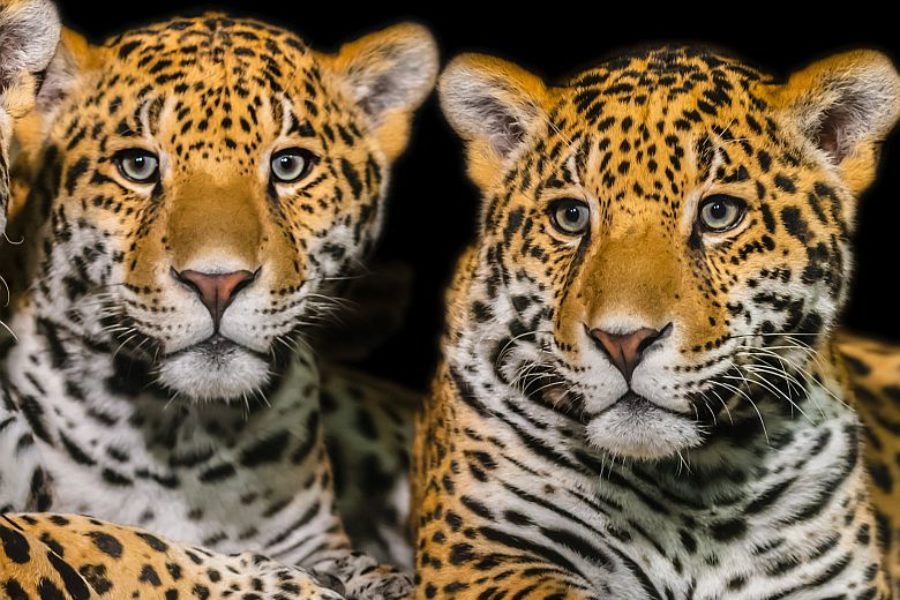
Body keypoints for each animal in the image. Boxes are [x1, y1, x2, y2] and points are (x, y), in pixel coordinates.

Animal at [0, 11, 437, 598]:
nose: (217, 283)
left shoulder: (317, 539)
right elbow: (127, 541)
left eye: (290, 165)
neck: (181, 437)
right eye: (137, 165)